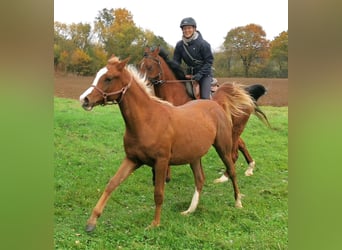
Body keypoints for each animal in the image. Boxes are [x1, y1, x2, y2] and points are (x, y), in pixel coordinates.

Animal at [79, 55, 252, 231]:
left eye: (108, 78)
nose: (84, 100)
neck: (148, 120)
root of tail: (216, 104)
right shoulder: (133, 159)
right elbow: (112, 183)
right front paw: (91, 222)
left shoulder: (161, 162)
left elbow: (158, 193)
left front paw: (155, 223)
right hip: (194, 156)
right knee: (200, 178)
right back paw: (189, 210)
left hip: (223, 147)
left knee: (232, 170)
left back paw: (238, 202)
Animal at [140, 46, 270, 182]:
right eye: (140, 65)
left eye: (149, 66)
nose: (141, 82)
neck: (176, 95)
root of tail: (244, 94)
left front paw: (165, 176)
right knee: (241, 145)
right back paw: (249, 167)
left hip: (235, 130)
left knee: (234, 153)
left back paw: (225, 177)